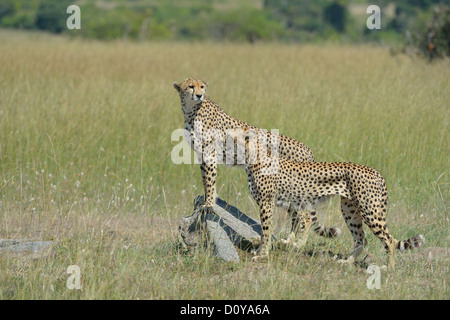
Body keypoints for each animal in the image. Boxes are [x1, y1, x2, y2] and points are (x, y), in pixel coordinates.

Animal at [174, 78, 340, 240]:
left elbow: (209, 180)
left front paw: (208, 204)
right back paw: (289, 240)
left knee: (304, 217)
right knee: (296, 216)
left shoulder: (209, 153)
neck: (191, 110)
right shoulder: (202, 154)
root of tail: (307, 149)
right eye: (190, 86)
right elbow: (206, 180)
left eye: (202, 87)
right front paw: (210, 199)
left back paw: (294, 242)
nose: (199, 95)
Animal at [237, 131, 428, 268]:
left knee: (389, 239)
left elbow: (266, 231)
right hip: (350, 210)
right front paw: (260, 251)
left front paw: (262, 255)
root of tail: (377, 172)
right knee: (361, 238)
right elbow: (269, 231)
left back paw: (389, 268)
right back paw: (348, 262)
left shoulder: (267, 203)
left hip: (369, 212)